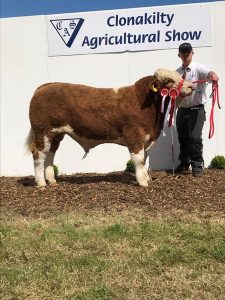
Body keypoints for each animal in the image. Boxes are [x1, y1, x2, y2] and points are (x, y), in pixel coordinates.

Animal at [25, 69, 192, 189]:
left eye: (180, 75)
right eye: (170, 80)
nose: (191, 86)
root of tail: (44, 87)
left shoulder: (146, 137)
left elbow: (144, 158)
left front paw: (145, 178)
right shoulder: (134, 134)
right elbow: (138, 159)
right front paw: (143, 182)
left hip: (56, 134)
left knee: (50, 153)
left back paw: (52, 180)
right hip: (43, 130)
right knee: (39, 153)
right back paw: (41, 183)